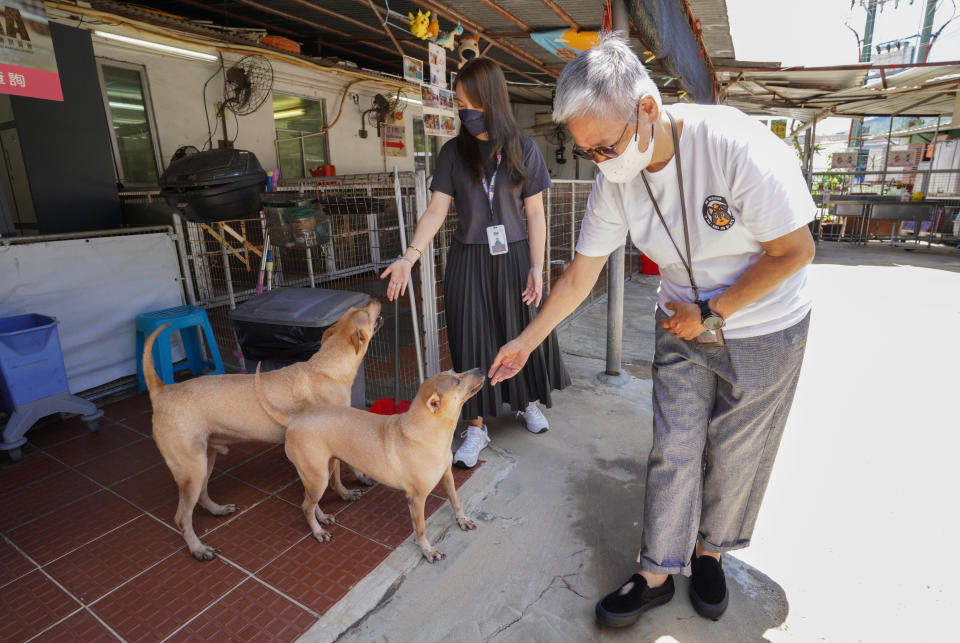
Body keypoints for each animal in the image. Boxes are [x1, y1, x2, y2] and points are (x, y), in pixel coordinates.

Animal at [143, 300, 382, 560]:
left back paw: (218, 510)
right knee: (182, 517)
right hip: (191, 469)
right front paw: (345, 493)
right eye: (366, 313)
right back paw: (198, 548)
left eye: (357, 308)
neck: (328, 366)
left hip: (205, 460)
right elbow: (338, 475)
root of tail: (162, 392)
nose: (376, 300)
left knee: (202, 496)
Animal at [255, 368, 484, 564]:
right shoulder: (416, 498)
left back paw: (323, 517)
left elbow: (455, 501)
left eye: (455, 372)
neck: (430, 431)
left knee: (312, 500)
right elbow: (420, 529)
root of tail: (295, 418)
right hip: (317, 476)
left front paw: (462, 520)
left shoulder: (447, 476)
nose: (481, 369)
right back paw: (318, 532)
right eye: (457, 381)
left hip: (322, 470)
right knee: (305, 506)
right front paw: (428, 550)